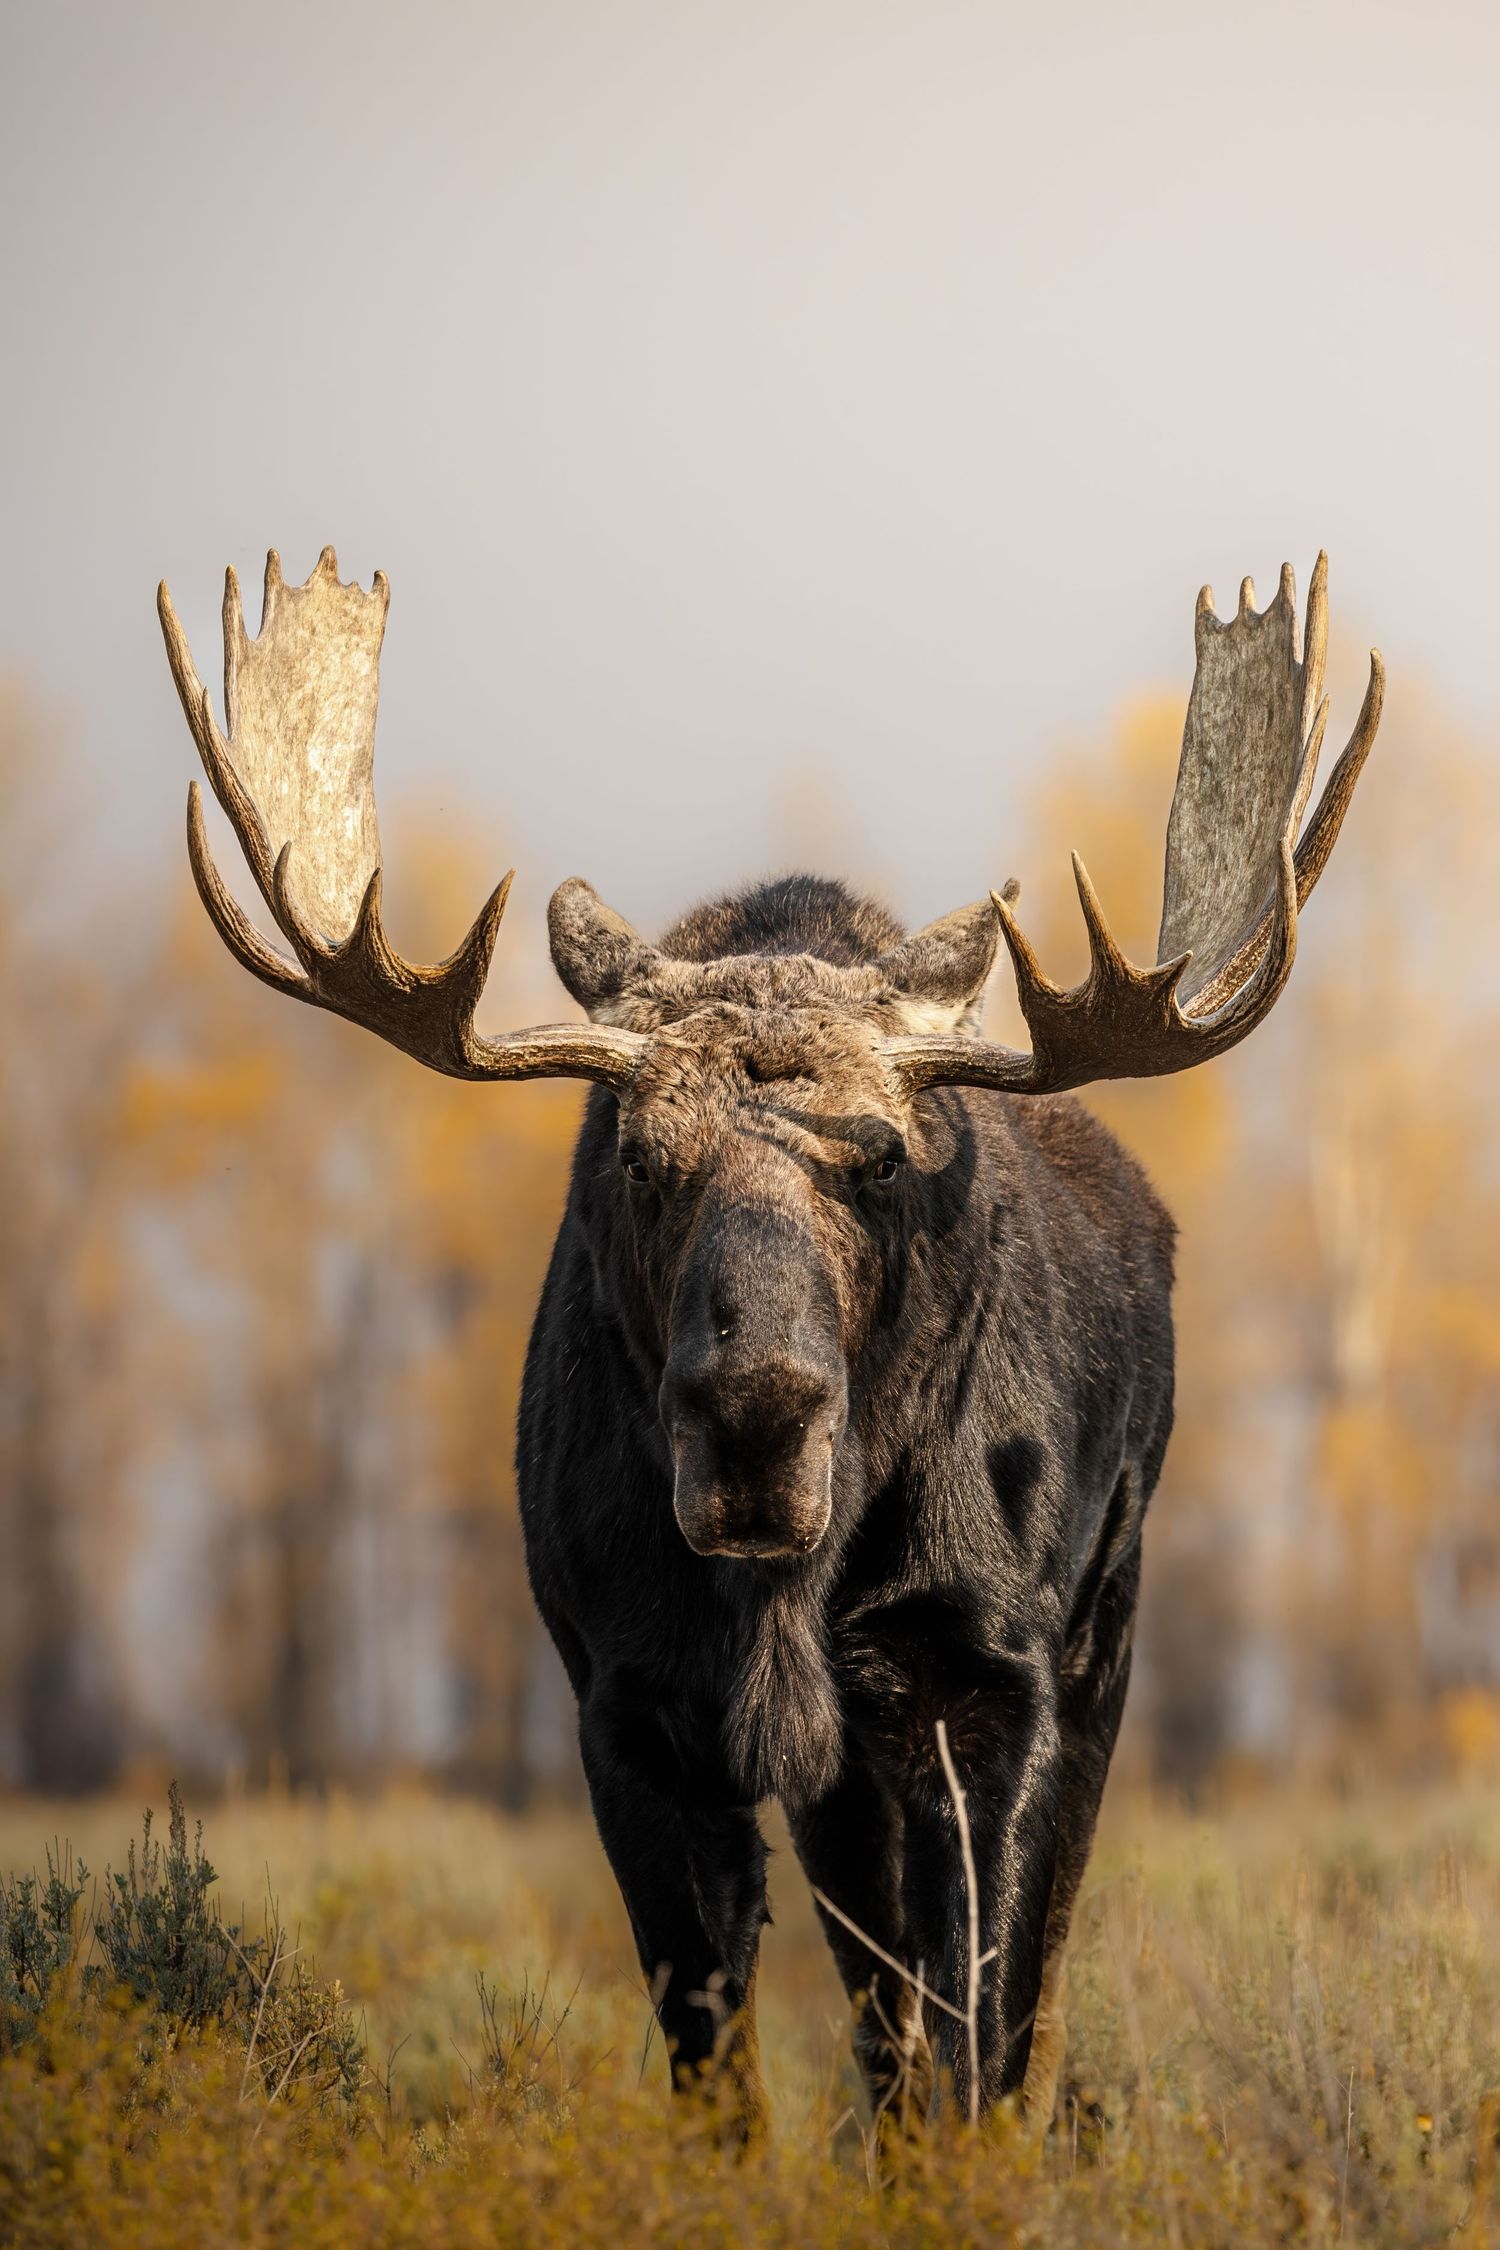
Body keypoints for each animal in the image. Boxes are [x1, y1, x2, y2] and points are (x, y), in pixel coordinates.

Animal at [159, 544, 1381, 2143]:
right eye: (638, 1156)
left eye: (883, 1156)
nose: (753, 1420)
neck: (790, 1596)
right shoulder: (628, 1707)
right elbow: (725, 2066)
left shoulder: (986, 1684)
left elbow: (973, 2036)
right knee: (874, 2007)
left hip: (1103, 1641)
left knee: (1022, 1995)